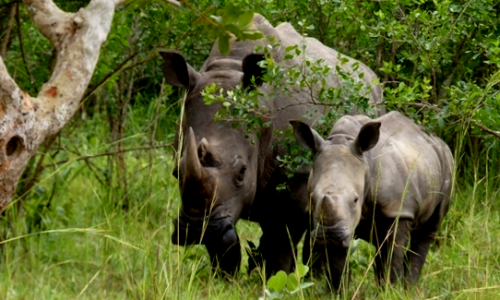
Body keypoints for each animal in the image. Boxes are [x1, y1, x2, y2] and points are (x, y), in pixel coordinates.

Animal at [160, 14, 382, 276]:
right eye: (176, 172)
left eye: (242, 172)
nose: (195, 230)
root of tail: (372, 77)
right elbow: (223, 246)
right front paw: (223, 278)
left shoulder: (297, 175)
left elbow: (280, 240)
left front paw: (277, 277)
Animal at [292, 111, 456, 292]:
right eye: (313, 198)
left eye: (355, 200)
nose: (330, 234)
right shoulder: (337, 226)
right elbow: (337, 264)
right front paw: (337, 292)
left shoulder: (397, 210)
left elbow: (393, 254)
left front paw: (393, 291)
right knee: (380, 245)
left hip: (447, 164)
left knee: (427, 230)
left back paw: (409, 289)